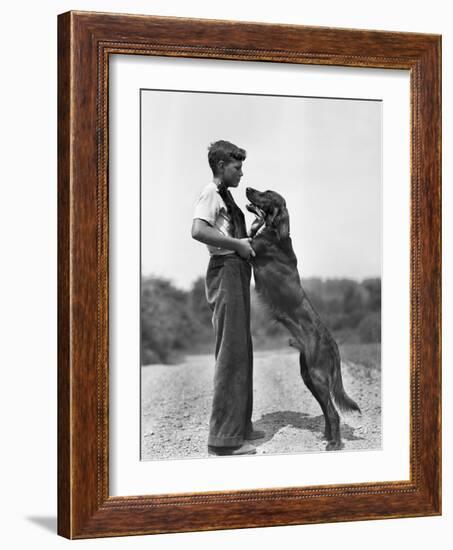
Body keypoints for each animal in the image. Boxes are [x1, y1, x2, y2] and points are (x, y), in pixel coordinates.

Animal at [245, 188, 358, 450]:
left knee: (333, 412)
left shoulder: (250, 250)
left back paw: (334, 444)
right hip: (309, 376)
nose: (247, 189)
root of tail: (332, 342)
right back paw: (328, 436)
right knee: (327, 411)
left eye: (266, 194)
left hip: (317, 376)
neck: (275, 232)